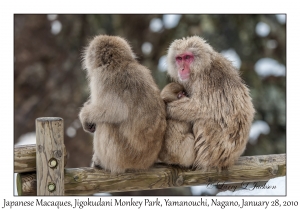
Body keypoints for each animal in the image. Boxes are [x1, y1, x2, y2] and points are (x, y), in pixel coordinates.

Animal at [79, 34, 166, 174]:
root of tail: (146, 163)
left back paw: (101, 163)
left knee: (105, 124)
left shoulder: (102, 78)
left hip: (122, 155)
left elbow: (114, 111)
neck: (119, 62)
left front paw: (84, 116)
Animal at [165, 36, 254, 171]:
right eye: (179, 58)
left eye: (187, 57)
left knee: (203, 121)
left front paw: (168, 109)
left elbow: (202, 107)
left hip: (212, 150)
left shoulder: (206, 80)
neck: (201, 68)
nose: (182, 69)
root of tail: (226, 161)